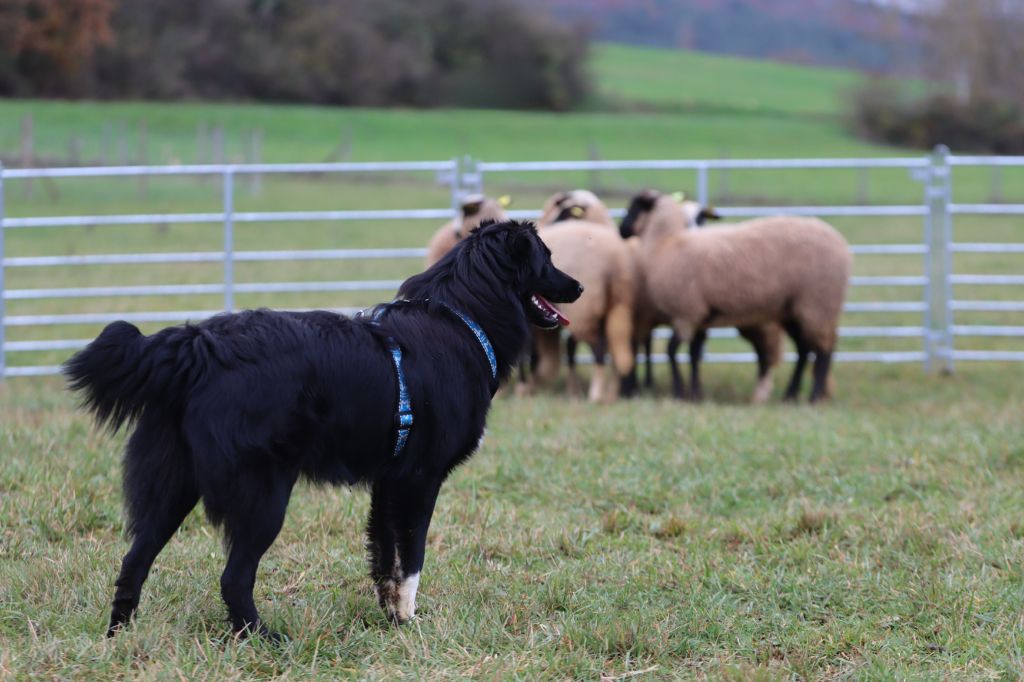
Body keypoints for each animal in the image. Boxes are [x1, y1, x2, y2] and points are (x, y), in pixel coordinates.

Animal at [66, 219, 585, 638]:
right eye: (547, 257)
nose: (580, 286)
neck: (464, 318)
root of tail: (198, 344)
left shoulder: (390, 482)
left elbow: (385, 556)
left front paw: (391, 618)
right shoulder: (420, 480)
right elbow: (412, 558)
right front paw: (410, 621)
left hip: (173, 487)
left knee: (134, 560)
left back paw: (120, 637)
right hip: (263, 496)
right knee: (234, 577)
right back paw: (261, 638)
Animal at [618, 189, 851, 403]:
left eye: (634, 208)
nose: (621, 230)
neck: (664, 244)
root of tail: (842, 245)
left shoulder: (687, 312)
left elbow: (671, 351)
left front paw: (680, 391)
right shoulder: (699, 317)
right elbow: (693, 354)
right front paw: (695, 393)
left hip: (819, 303)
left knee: (824, 349)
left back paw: (814, 397)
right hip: (794, 309)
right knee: (803, 349)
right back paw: (790, 396)